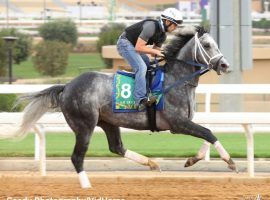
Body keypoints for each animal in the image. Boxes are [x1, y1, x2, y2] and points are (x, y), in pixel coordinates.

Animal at [0, 25, 236, 188]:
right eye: (207, 45)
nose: (225, 65)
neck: (176, 79)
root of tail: (67, 86)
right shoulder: (177, 123)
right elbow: (209, 132)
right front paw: (230, 161)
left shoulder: (184, 123)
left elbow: (207, 134)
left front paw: (192, 160)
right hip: (84, 125)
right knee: (77, 157)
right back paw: (87, 186)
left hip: (108, 122)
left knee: (117, 147)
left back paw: (152, 164)